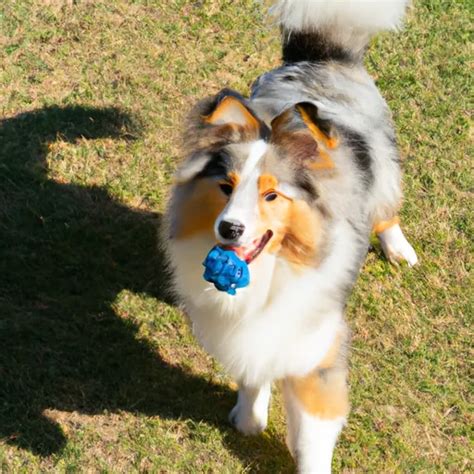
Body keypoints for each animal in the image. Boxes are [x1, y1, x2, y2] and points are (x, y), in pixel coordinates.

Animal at [165, 1, 416, 472]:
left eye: (271, 194)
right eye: (225, 186)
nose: (229, 229)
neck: (272, 269)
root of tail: (321, 54)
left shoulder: (317, 347)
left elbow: (315, 433)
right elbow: (253, 369)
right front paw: (249, 418)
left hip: (384, 167)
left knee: (387, 209)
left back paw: (400, 250)